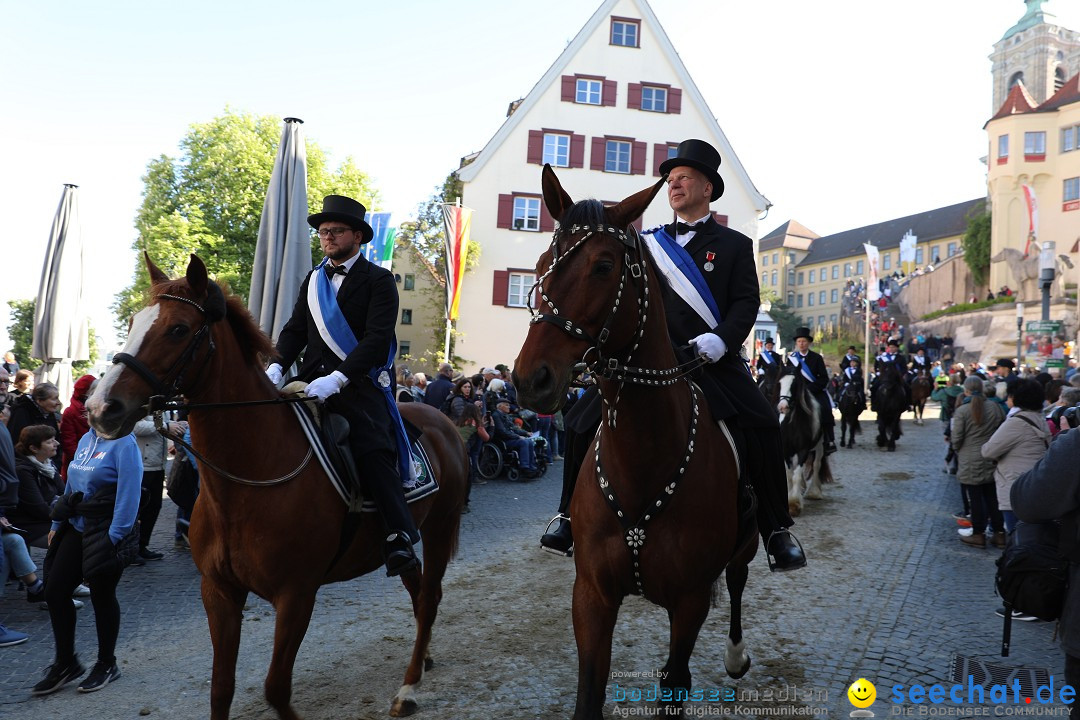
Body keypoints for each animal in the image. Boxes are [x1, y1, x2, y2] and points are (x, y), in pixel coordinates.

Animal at [85, 254, 468, 720]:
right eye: (132, 322)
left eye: (178, 329)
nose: (100, 408)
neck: (241, 485)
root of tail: (443, 421)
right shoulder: (219, 592)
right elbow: (221, 689)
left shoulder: (296, 595)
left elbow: (275, 688)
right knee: (417, 592)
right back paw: (423, 658)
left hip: (438, 527)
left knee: (429, 598)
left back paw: (409, 687)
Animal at [516, 169, 760, 720]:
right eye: (539, 266)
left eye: (604, 267)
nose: (530, 379)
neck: (644, 461)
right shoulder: (591, 597)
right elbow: (590, 691)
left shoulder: (690, 602)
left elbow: (675, 683)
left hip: (748, 541)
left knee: (738, 579)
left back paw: (736, 655)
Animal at [777, 362, 833, 515]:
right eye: (780, 383)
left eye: (794, 384)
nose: (782, 407)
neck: (792, 424)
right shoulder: (786, 451)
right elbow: (789, 474)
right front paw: (790, 498)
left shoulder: (803, 450)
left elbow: (796, 475)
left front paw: (794, 504)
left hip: (819, 446)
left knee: (816, 464)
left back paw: (814, 492)